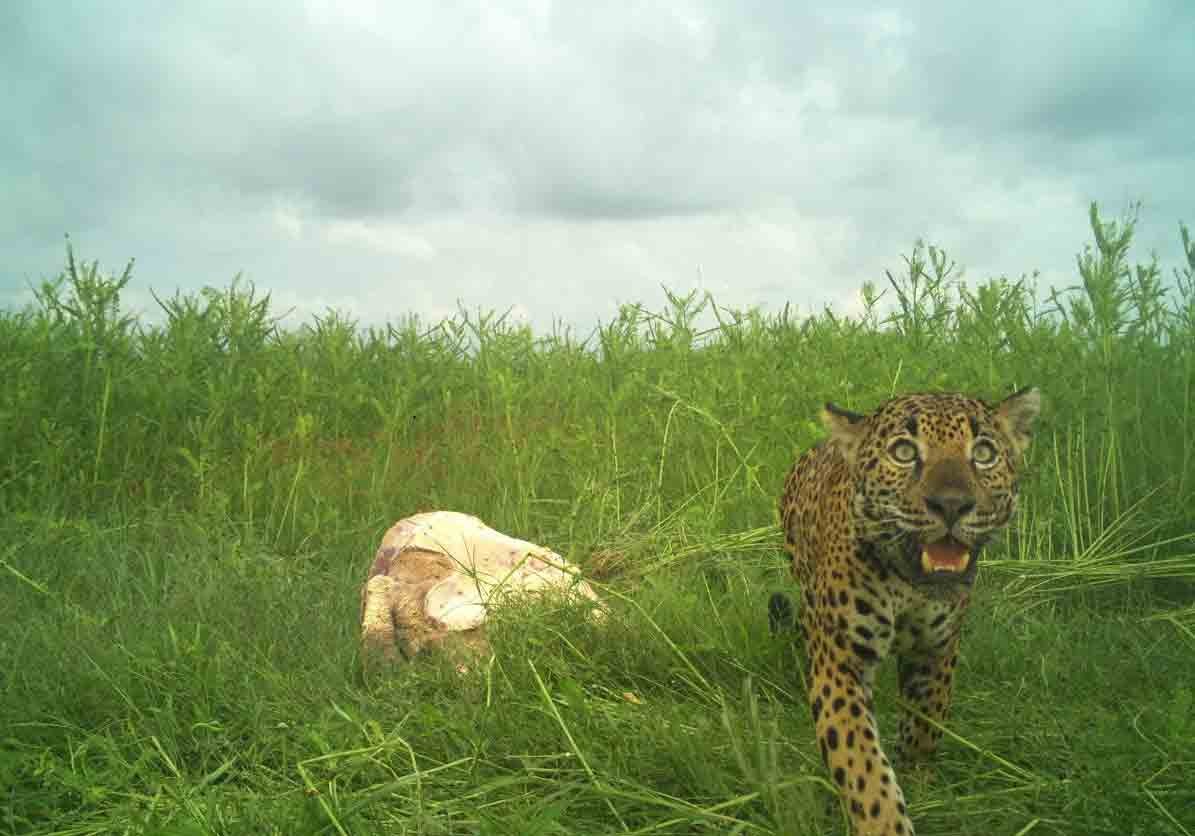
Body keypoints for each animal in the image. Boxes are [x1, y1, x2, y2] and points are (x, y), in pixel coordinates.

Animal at [771, 387, 1040, 836]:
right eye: (904, 452)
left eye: (983, 453)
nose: (952, 505)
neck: (908, 584)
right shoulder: (839, 662)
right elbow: (861, 763)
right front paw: (885, 823)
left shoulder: (936, 650)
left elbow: (925, 724)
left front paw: (920, 780)